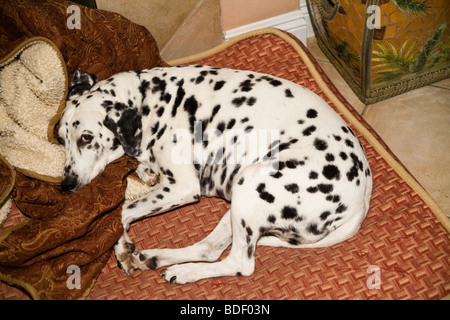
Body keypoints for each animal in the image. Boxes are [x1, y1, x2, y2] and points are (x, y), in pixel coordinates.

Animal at [58, 64, 370, 282]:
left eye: (86, 138)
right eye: (61, 139)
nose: (66, 184)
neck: (148, 99)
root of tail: (360, 204)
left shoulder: (182, 187)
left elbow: (120, 213)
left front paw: (121, 245)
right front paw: (144, 171)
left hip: (250, 185)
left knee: (239, 263)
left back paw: (184, 272)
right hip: (240, 202)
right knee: (209, 249)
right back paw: (159, 259)